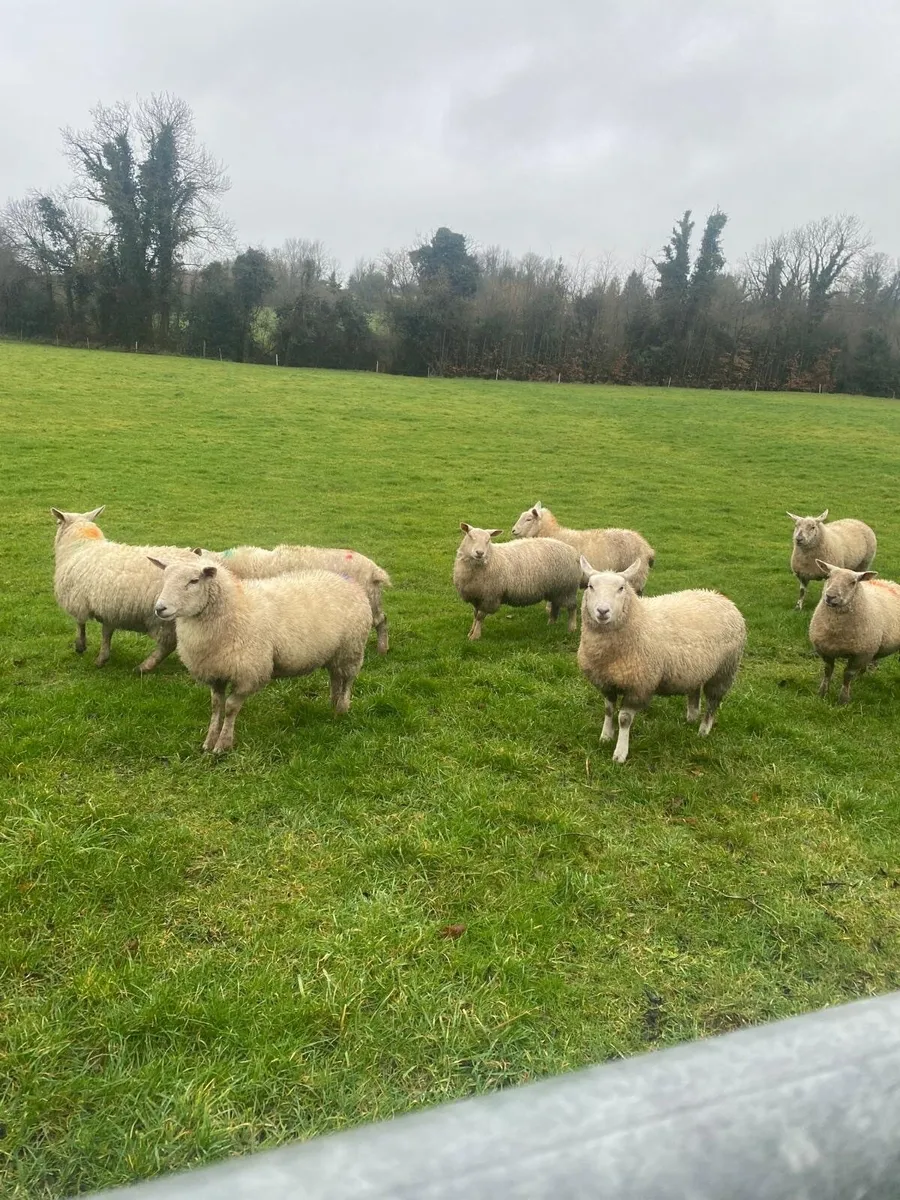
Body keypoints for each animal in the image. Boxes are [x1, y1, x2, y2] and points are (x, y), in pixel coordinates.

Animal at [51, 506, 201, 672]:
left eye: (58, 522)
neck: (81, 545)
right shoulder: (110, 607)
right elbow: (106, 632)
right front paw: (103, 657)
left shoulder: (77, 600)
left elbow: (80, 623)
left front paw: (80, 646)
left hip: (163, 616)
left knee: (167, 644)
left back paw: (144, 667)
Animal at [149, 557, 372, 753]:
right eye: (165, 578)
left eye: (194, 581)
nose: (160, 608)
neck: (236, 608)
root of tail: (349, 581)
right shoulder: (216, 672)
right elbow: (216, 706)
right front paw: (209, 741)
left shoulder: (249, 673)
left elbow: (230, 708)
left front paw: (223, 745)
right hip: (335, 653)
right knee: (335, 678)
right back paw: (333, 705)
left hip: (352, 648)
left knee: (348, 680)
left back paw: (342, 708)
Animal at [453, 523, 582, 640]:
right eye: (470, 536)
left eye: (488, 540)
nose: (480, 553)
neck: (491, 558)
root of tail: (573, 550)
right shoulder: (476, 597)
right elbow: (475, 615)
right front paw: (471, 632)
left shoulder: (490, 596)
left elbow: (480, 616)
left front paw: (475, 636)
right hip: (556, 589)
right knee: (555, 606)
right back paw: (551, 623)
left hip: (567, 588)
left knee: (572, 608)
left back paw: (572, 628)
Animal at [577, 556, 746, 763]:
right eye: (590, 586)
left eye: (621, 588)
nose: (602, 611)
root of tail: (721, 598)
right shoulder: (605, 681)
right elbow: (609, 711)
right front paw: (605, 737)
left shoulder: (639, 685)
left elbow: (624, 719)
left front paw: (620, 753)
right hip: (696, 668)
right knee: (694, 692)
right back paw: (691, 717)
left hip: (724, 671)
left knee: (713, 703)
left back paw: (703, 730)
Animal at [808, 559, 900, 704]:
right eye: (828, 576)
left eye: (853, 582)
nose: (830, 596)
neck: (836, 630)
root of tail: (891, 582)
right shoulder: (825, 649)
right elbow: (827, 671)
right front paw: (822, 693)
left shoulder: (860, 654)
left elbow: (847, 675)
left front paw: (843, 700)